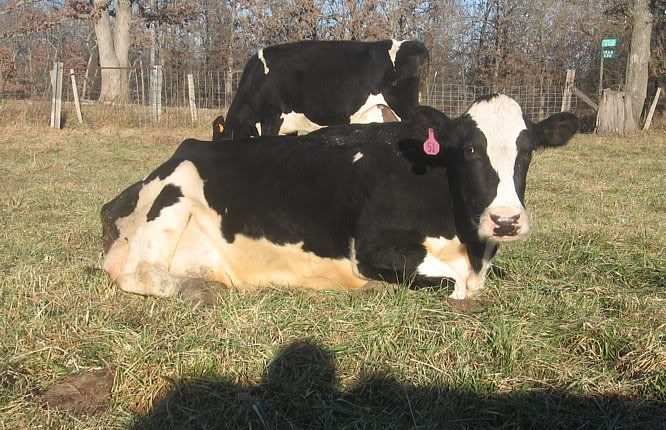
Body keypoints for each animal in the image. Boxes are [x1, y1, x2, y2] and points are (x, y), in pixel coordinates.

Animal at [101, 94, 579, 301]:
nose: (506, 220)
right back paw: (193, 291)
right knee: (137, 273)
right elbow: (454, 285)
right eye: (469, 150)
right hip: (175, 190)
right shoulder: (371, 248)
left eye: (527, 151)